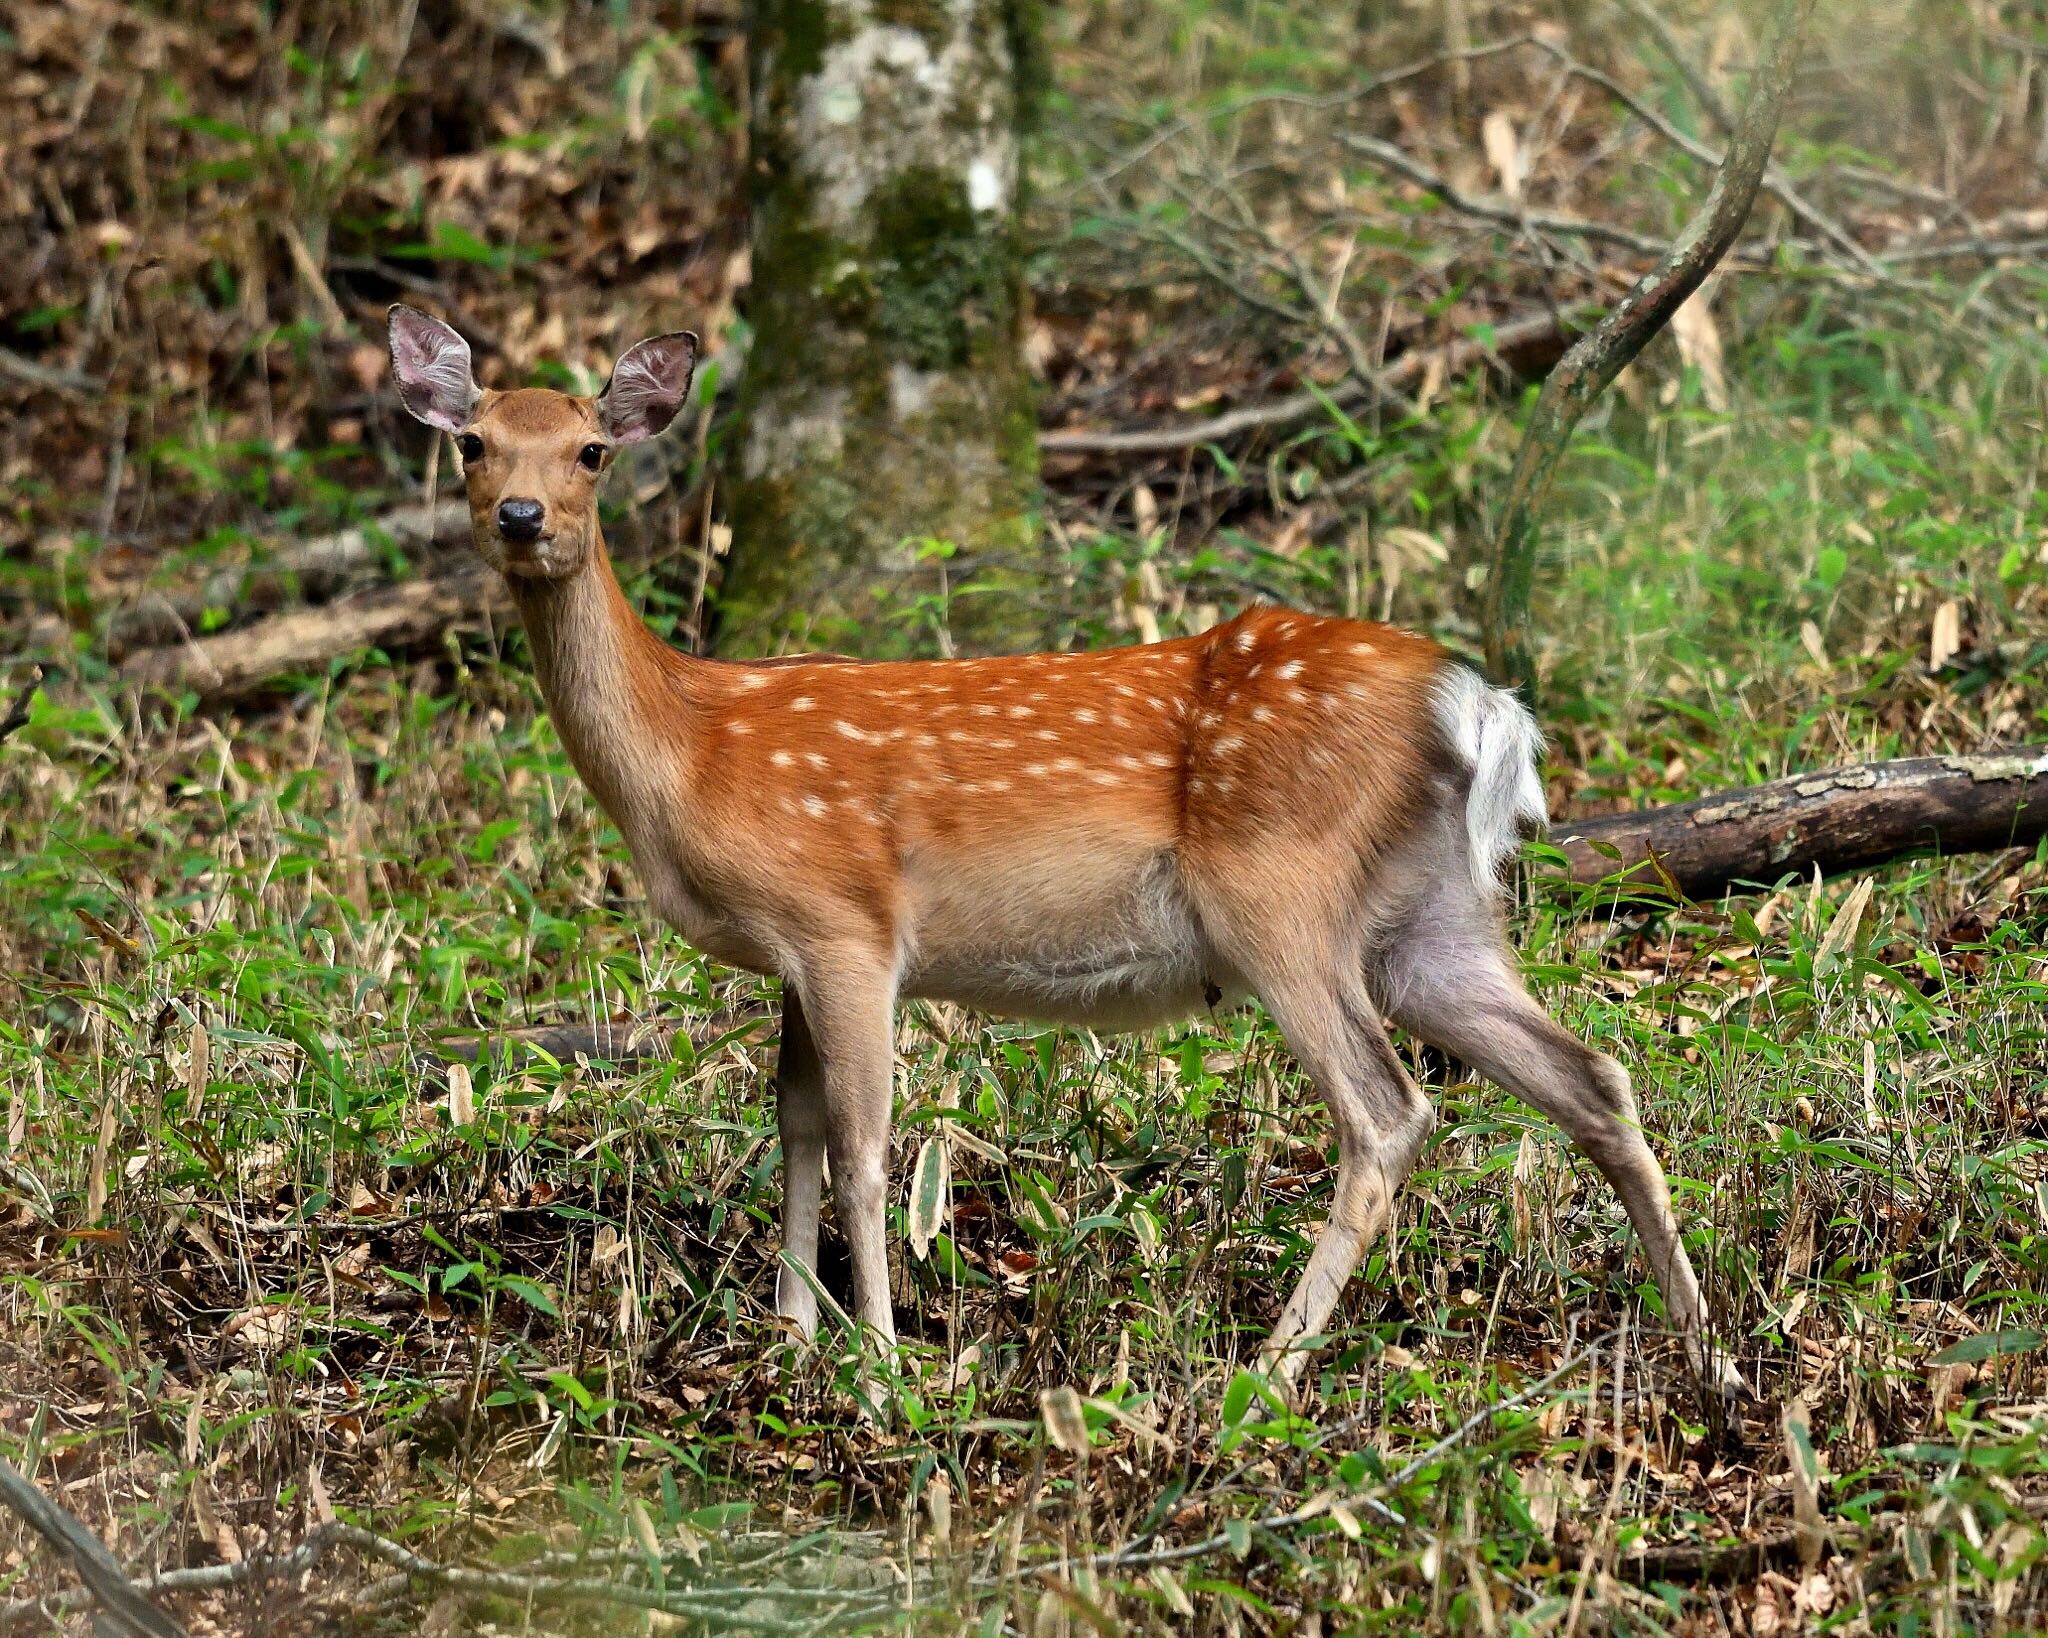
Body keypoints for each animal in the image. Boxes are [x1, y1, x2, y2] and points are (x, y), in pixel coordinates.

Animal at [387, 311, 1744, 1408]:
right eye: (473, 445)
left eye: (590, 451)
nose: (521, 518)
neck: (690, 749)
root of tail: (1472, 702)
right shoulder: (793, 955)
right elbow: (794, 1128)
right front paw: (790, 1339)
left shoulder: (845, 923)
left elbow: (867, 1152)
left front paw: (880, 1369)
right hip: (1430, 916)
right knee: (1591, 1076)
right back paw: (1705, 1351)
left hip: (1275, 891)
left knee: (1386, 1111)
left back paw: (1268, 1369)